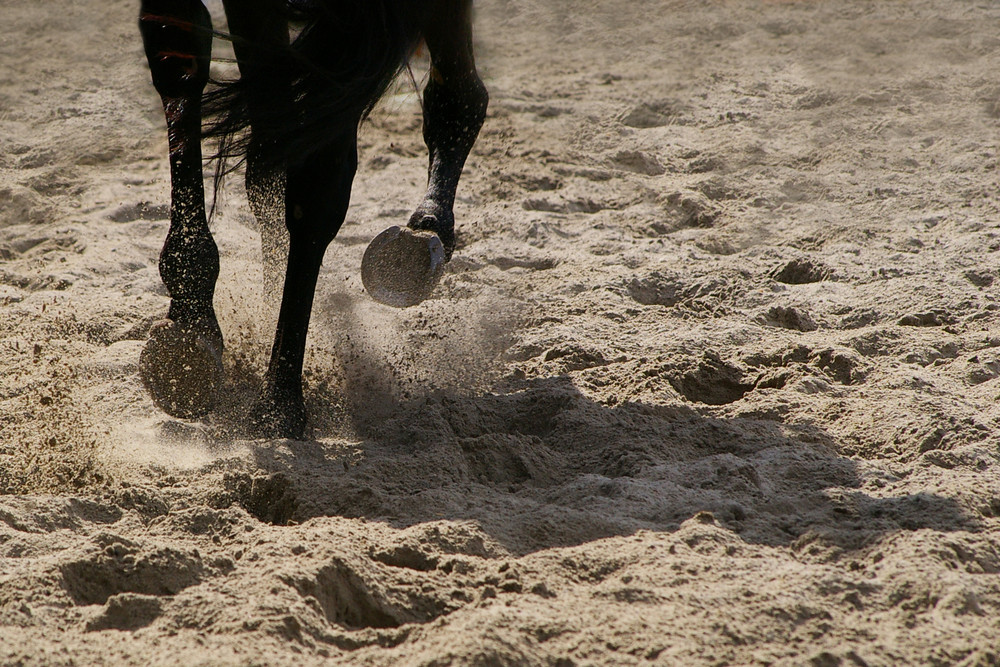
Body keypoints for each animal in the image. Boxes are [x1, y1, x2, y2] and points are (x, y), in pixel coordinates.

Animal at [137, 0, 488, 440]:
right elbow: (179, 53)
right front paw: (189, 321)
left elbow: (317, 185)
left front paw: (279, 402)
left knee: (458, 94)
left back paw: (422, 235)